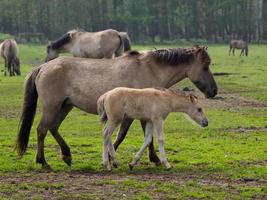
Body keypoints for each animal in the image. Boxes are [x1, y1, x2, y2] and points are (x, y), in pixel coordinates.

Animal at [15, 45, 218, 169]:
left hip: (65, 106)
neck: (149, 68)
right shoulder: (143, 115)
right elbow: (133, 137)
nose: (214, 91)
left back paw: (67, 155)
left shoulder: (132, 115)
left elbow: (121, 136)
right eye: (205, 66)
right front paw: (154, 159)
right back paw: (43, 162)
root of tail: (42, 67)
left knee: (53, 128)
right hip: (52, 106)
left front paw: (114, 158)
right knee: (42, 129)